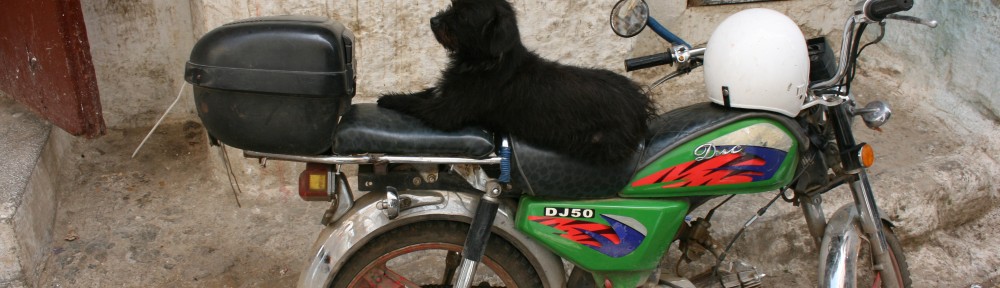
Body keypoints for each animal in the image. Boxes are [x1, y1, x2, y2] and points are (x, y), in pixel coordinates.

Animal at [378, 0, 652, 163]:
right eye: (453, 5)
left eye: (464, 16)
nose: (433, 21)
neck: (485, 62)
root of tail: (639, 103)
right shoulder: (445, 94)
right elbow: (422, 93)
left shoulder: (445, 112)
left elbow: (414, 104)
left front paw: (388, 98)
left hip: (599, 141)